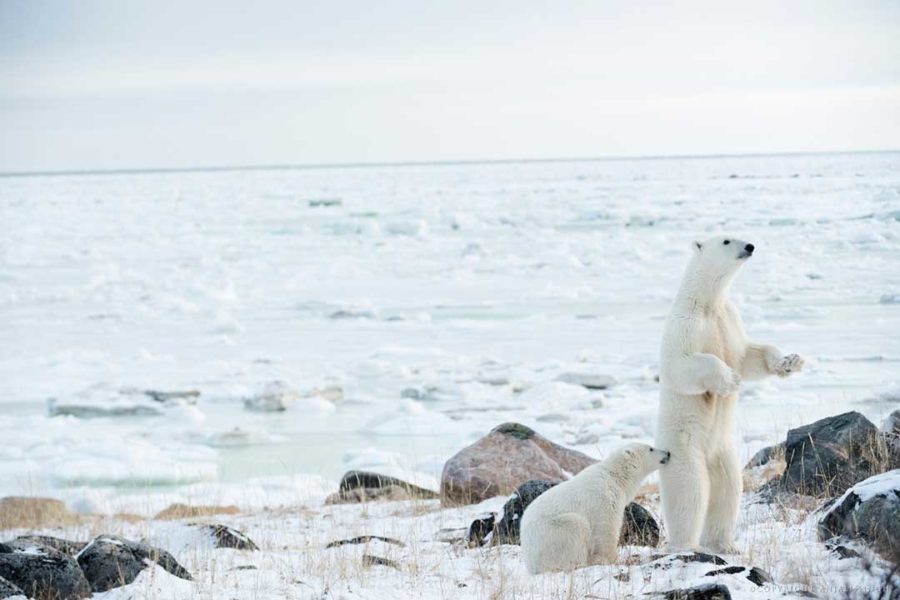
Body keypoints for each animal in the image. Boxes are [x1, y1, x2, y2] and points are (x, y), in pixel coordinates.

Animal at [520, 442, 671, 574]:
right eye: (650, 448)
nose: (667, 453)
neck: (615, 476)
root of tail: (530, 562)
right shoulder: (603, 498)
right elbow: (606, 528)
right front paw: (611, 559)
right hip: (553, 532)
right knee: (576, 529)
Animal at [655, 236, 804, 553]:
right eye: (726, 240)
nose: (750, 246)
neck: (708, 303)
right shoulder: (686, 325)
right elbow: (681, 364)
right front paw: (728, 379)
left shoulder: (729, 320)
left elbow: (749, 354)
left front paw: (789, 362)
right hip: (683, 447)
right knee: (690, 491)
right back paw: (687, 545)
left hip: (723, 452)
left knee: (728, 489)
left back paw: (724, 544)